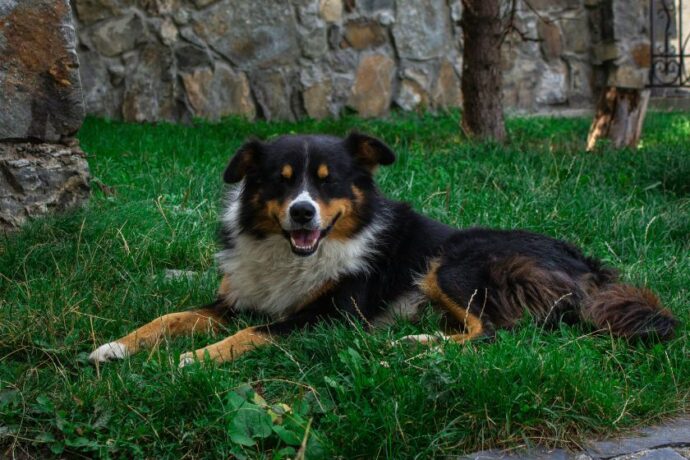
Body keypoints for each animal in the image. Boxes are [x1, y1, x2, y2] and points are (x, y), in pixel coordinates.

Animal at [88, 130, 676, 366]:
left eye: (329, 183)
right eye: (280, 181)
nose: (302, 212)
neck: (293, 254)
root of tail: (588, 264)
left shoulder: (331, 316)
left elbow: (254, 334)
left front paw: (195, 359)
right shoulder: (236, 297)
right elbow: (170, 316)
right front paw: (114, 347)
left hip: (454, 262)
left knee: (498, 333)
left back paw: (412, 346)